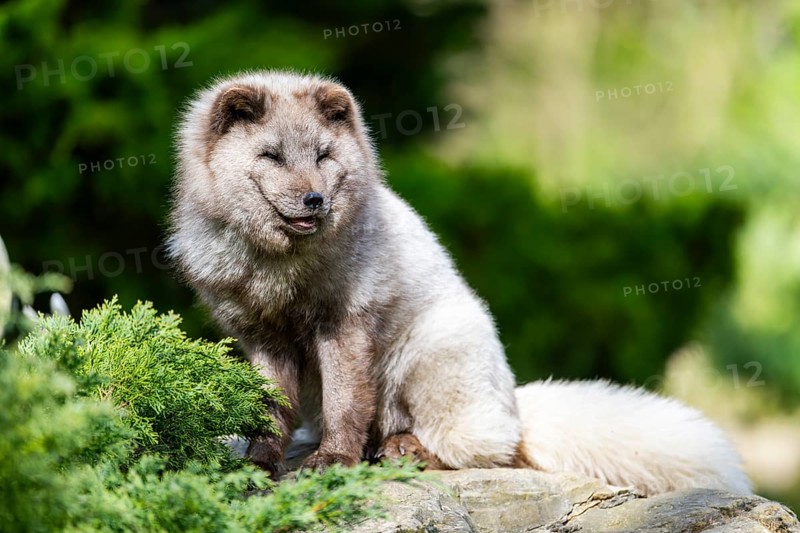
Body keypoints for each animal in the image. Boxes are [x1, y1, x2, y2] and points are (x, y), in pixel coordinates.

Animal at [166, 70, 752, 496]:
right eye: (271, 156)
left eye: (324, 156)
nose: (315, 200)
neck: (279, 270)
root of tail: (514, 404)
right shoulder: (262, 337)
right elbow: (268, 411)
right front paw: (259, 464)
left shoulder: (346, 323)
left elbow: (346, 404)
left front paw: (332, 460)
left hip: (432, 351)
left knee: (484, 449)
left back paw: (404, 449)